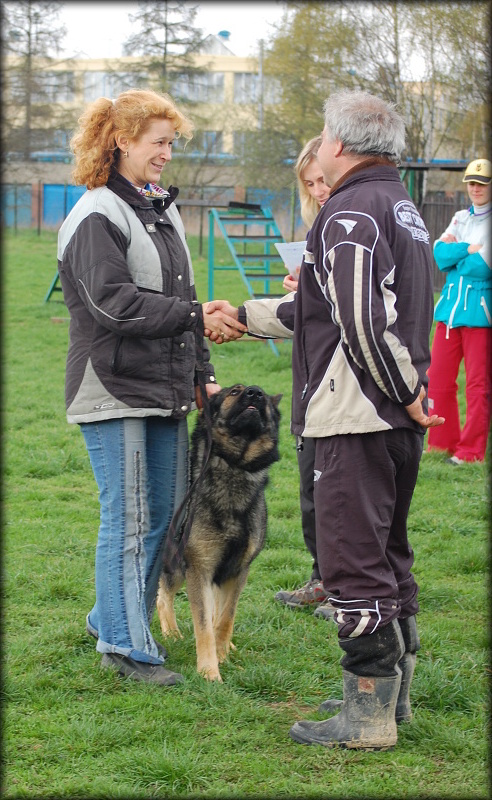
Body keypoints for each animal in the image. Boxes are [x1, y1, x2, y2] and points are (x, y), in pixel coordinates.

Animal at [158, 382, 280, 680]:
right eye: (235, 391)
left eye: (262, 395)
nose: (255, 392)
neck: (234, 467)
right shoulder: (199, 568)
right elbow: (203, 624)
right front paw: (209, 671)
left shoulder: (237, 570)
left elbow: (225, 617)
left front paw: (223, 654)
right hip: (176, 565)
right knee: (162, 596)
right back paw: (171, 632)